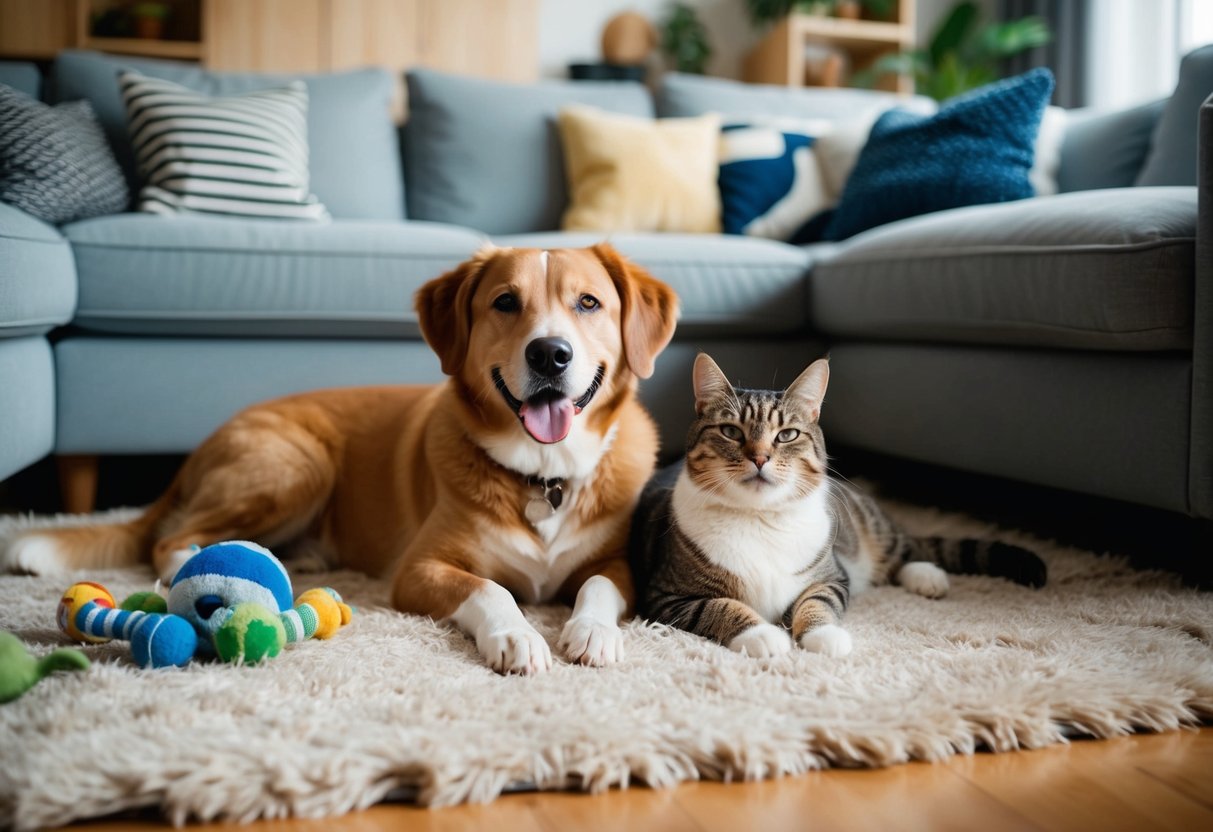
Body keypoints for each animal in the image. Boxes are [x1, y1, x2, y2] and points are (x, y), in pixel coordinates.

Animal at [4, 244, 679, 674]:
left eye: (588, 303)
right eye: (506, 303)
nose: (550, 354)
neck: (545, 474)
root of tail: (213, 437)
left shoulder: (621, 564)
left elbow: (596, 585)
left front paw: (592, 631)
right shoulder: (419, 569)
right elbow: (490, 589)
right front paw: (516, 635)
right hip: (298, 466)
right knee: (172, 539)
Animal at [625, 354, 1043, 659]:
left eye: (787, 435)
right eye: (730, 431)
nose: (759, 457)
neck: (760, 518)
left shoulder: (832, 576)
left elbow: (819, 601)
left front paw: (824, 635)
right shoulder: (666, 596)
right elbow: (719, 606)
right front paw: (762, 634)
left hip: (870, 525)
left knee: (906, 547)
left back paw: (927, 575)